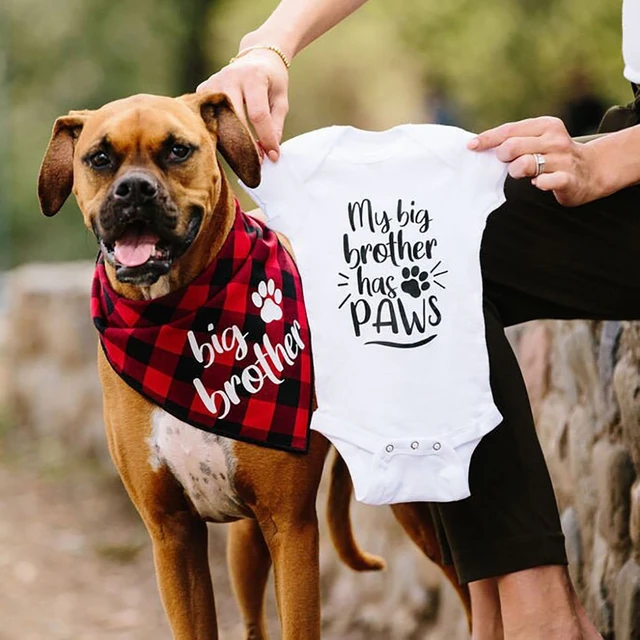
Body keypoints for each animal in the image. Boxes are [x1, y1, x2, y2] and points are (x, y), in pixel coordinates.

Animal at [38, 92, 470, 636]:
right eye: (99, 158)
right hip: (246, 543)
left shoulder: (291, 528)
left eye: (178, 150)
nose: (134, 188)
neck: (180, 321)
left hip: (421, 509)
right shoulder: (173, 536)